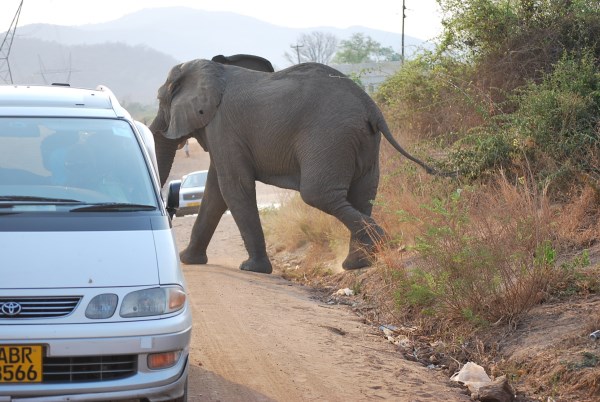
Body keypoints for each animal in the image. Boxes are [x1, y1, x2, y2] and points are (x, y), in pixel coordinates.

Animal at [149, 58, 440, 274]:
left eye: (160, 100)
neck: (210, 69)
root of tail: (370, 105)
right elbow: (216, 192)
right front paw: (189, 259)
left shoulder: (223, 126)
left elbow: (233, 187)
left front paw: (252, 268)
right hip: (364, 140)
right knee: (363, 193)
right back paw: (359, 262)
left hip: (330, 136)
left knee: (317, 194)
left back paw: (381, 243)